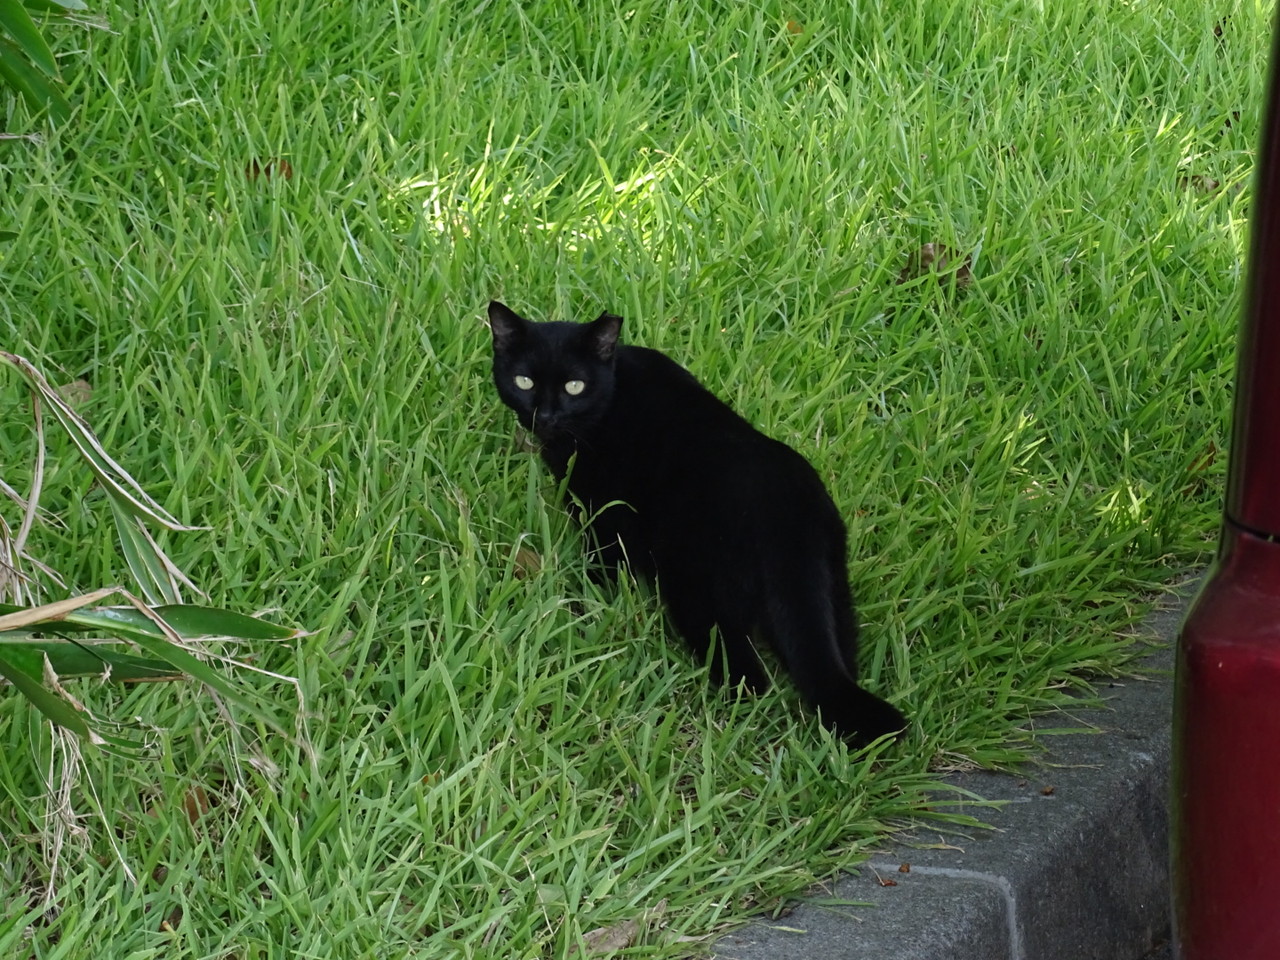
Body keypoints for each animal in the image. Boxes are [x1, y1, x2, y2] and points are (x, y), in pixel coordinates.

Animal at [488, 300, 907, 746]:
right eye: (524, 381)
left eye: (574, 387)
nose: (545, 415)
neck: (612, 393)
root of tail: (786, 519)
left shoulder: (604, 511)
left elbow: (604, 562)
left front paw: (587, 600)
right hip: (833, 593)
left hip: (700, 593)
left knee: (748, 676)